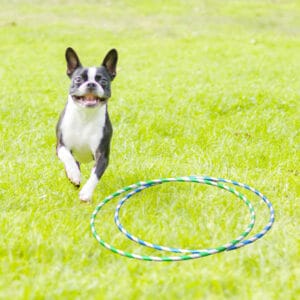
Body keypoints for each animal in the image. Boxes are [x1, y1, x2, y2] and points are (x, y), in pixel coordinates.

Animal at [56, 47, 118, 202]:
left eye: (103, 80)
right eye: (78, 79)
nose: (91, 84)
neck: (85, 116)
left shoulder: (102, 154)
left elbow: (95, 175)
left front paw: (86, 193)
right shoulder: (61, 146)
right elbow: (67, 157)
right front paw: (74, 174)